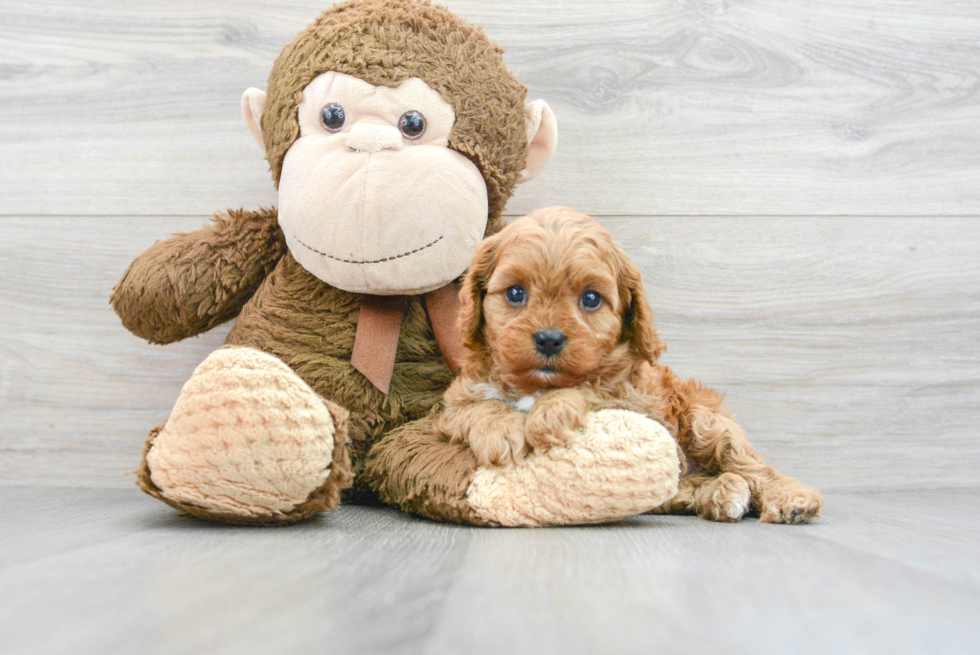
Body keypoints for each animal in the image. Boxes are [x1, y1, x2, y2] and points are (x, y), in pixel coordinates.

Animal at [440, 208, 824, 524]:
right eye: (515, 293)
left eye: (591, 299)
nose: (549, 339)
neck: (536, 386)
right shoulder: (452, 405)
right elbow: (475, 408)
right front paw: (503, 432)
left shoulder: (635, 401)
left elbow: (590, 385)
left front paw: (551, 413)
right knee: (682, 485)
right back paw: (722, 492)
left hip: (705, 422)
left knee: (753, 466)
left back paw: (792, 499)